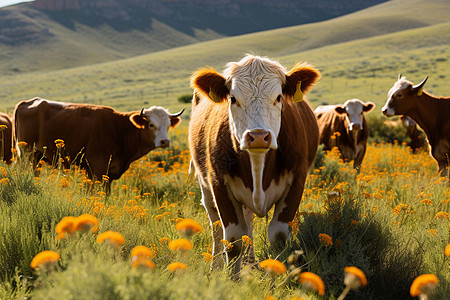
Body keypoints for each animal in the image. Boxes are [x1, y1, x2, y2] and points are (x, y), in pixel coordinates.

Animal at [14, 97, 183, 188]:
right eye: (151, 124)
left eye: (168, 124)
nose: (165, 141)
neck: (118, 129)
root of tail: (28, 102)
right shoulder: (97, 168)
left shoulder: (108, 174)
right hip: (28, 153)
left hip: (37, 157)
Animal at [188, 54, 322, 276]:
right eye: (233, 98)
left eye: (278, 97)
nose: (258, 136)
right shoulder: (219, 184)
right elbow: (233, 239)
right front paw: (232, 278)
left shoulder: (296, 183)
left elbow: (278, 237)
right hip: (205, 184)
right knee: (215, 223)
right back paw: (216, 265)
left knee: (248, 221)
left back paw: (250, 261)